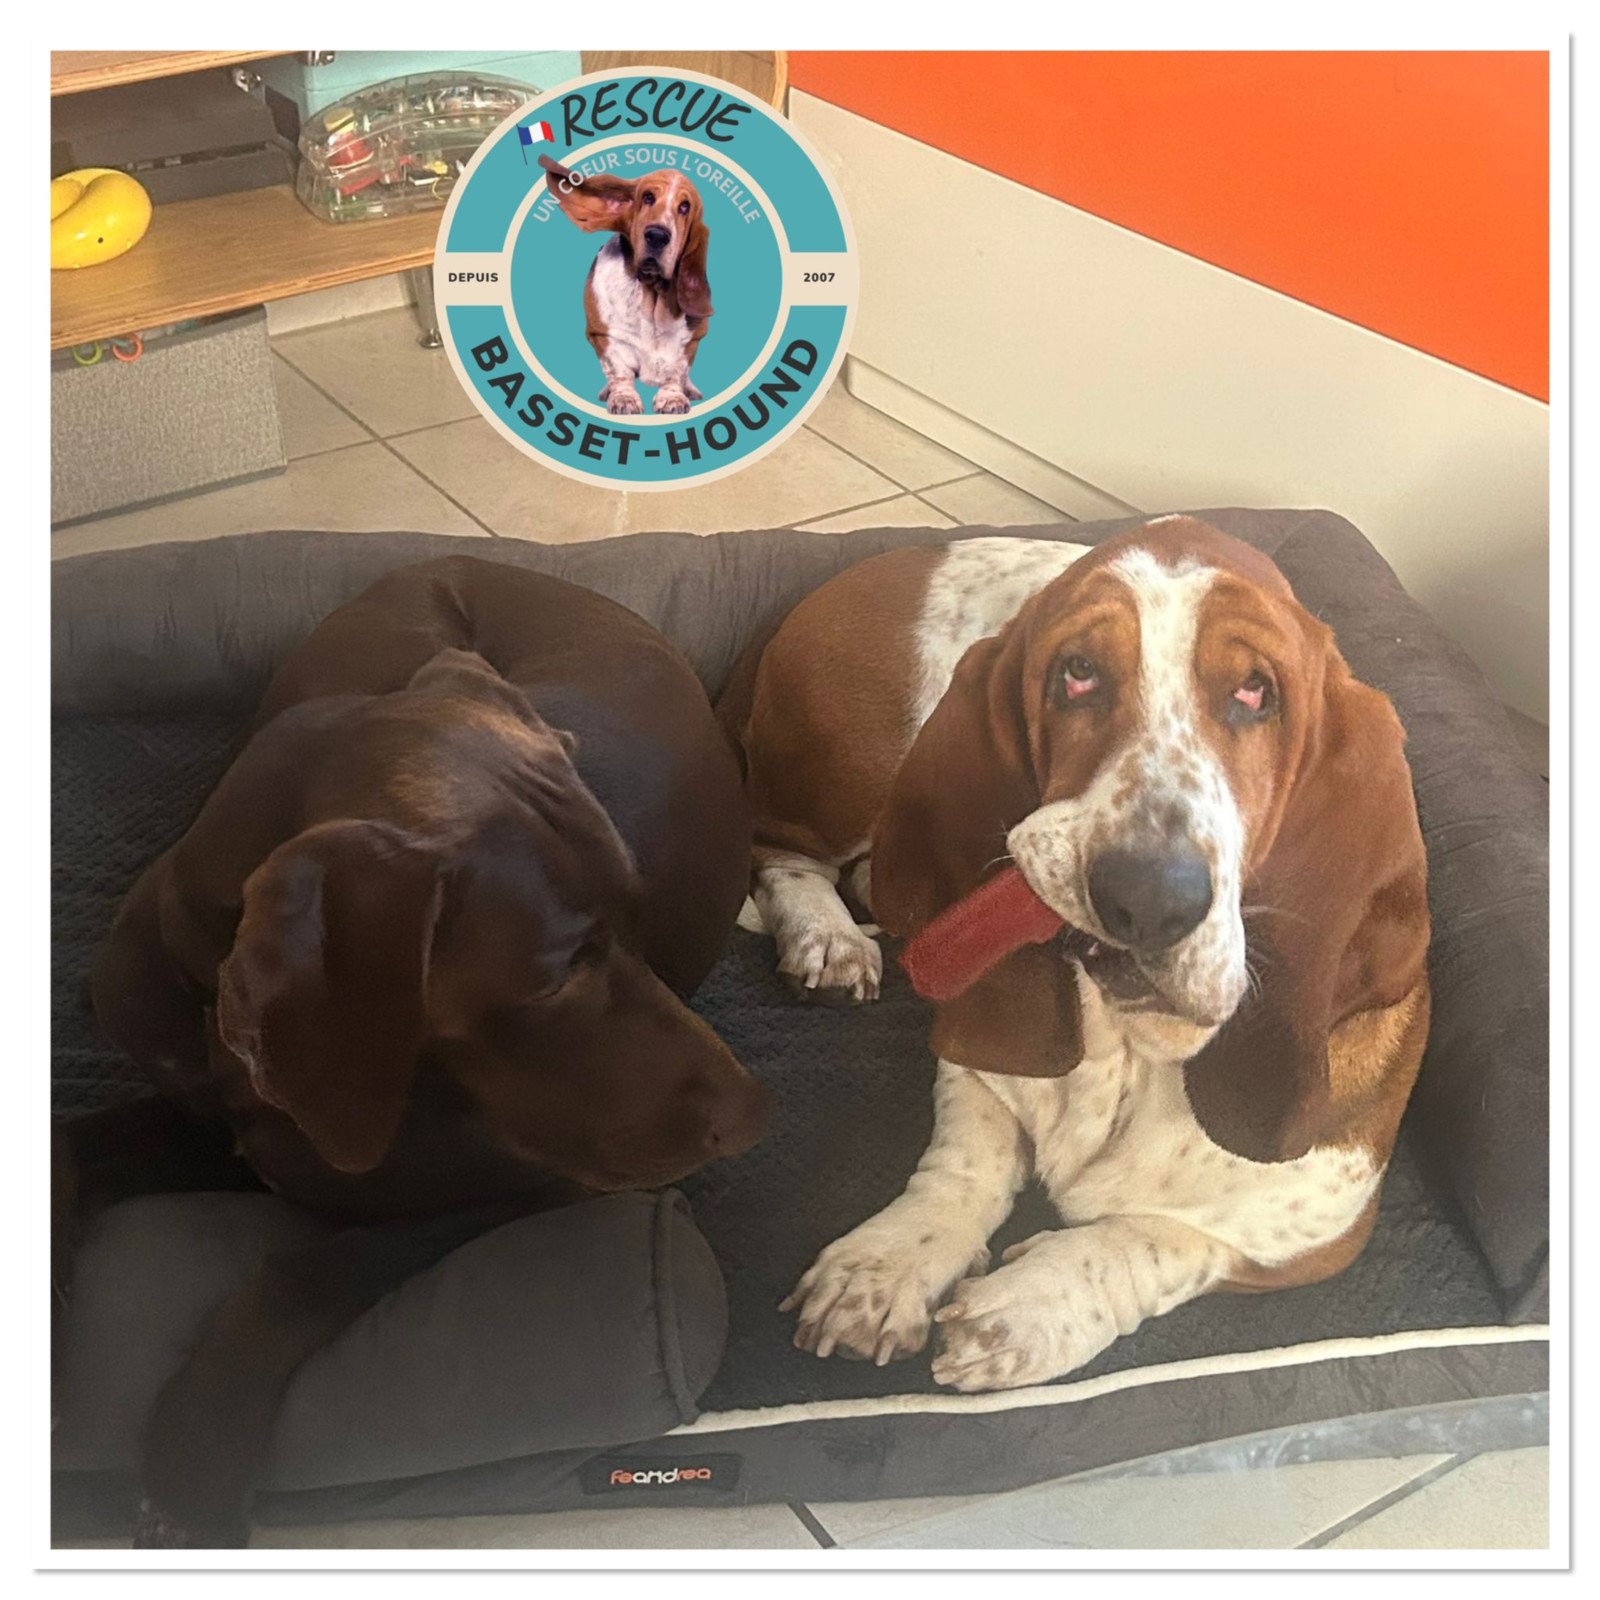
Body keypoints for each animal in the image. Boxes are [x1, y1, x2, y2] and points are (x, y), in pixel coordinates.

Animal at [76, 554, 766, 1542]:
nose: (753, 1115)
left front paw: (193, 1466)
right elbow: (78, 1149)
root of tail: (454, 558)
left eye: (641, 918)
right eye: (555, 975)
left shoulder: (520, 1187)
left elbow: (307, 1271)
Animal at [539, 155, 712, 417]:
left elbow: (676, 372)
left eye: (685, 206)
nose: (657, 236)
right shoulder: (604, 336)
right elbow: (618, 371)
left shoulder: (689, 342)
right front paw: (624, 399)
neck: (650, 296)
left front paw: (673, 398)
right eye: (648, 197)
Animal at [723, 520, 1431, 1391]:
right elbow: (964, 1163)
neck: (1132, 1045)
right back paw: (829, 940)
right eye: (1078, 674)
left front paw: (1025, 1309)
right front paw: (885, 1268)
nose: (1149, 896)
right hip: (851, 778)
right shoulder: (977, 1069)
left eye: (1257, 693)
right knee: (779, 849)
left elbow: (1158, 1239)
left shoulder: (1307, 1237)